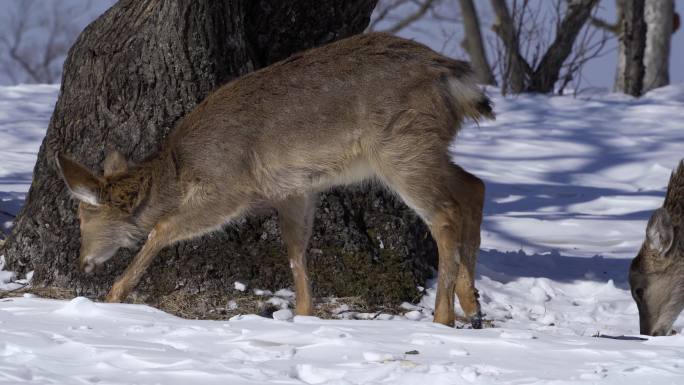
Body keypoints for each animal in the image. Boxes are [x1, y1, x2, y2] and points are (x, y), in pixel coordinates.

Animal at [53, 33, 492, 328]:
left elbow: (162, 227)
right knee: (474, 187)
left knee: (445, 215)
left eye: (83, 216)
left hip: (401, 147)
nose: (82, 262)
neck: (180, 168)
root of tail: (453, 77)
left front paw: (114, 295)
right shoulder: (296, 188)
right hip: (425, 147)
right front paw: (304, 314)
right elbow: (295, 248)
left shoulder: (231, 186)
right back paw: (471, 306)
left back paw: (443, 317)